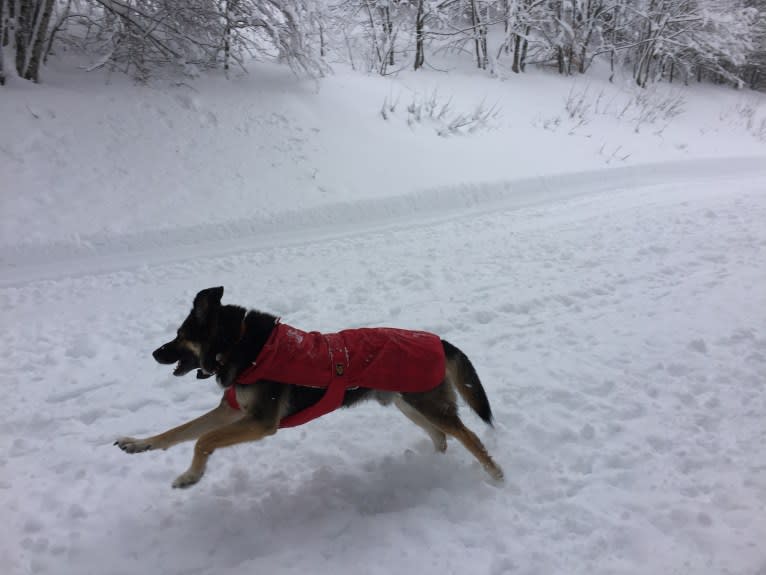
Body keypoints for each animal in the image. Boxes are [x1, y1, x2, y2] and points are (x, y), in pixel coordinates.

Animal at [114, 286, 504, 488]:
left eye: (181, 335)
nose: (154, 353)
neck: (240, 344)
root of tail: (439, 340)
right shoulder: (232, 411)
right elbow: (178, 432)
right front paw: (139, 443)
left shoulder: (260, 422)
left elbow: (202, 439)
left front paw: (191, 476)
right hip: (408, 403)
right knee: (442, 437)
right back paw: (431, 466)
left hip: (427, 405)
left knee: (469, 436)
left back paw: (497, 476)